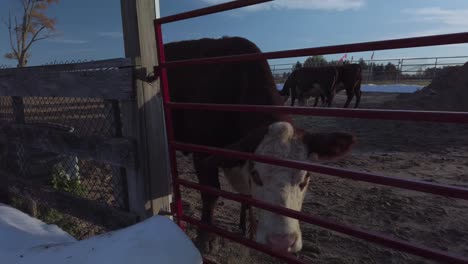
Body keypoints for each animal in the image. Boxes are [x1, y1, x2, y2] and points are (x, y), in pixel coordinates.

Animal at [165, 36, 354, 253]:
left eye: (306, 178)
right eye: (256, 175)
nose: (281, 242)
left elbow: (246, 195)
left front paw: (248, 228)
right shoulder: (203, 152)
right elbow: (210, 193)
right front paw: (206, 238)